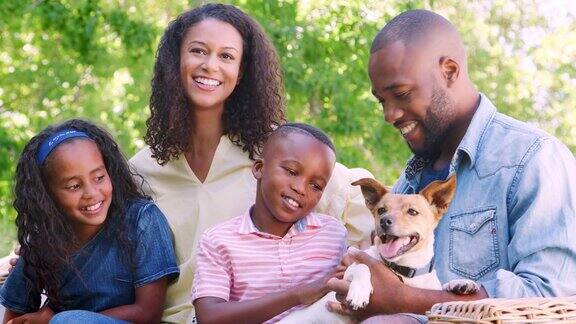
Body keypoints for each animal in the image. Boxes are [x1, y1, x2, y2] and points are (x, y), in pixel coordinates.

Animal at [278, 176, 476, 322]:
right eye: (381, 210)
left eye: (412, 212)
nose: (384, 221)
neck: (403, 268)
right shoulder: (346, 273)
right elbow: (362, 266)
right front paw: (360, 292)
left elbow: (441, 288)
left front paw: (460, 283)